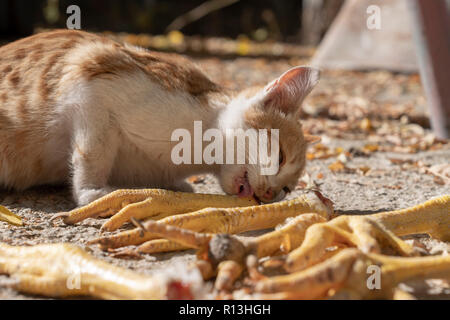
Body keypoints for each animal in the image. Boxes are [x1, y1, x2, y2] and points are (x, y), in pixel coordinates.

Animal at [1, 29, 322, 205]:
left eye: (286, 190)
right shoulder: (88, 79)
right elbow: (93, 152)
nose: (269, 194)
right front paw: (91, 191)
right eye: (279, 157)